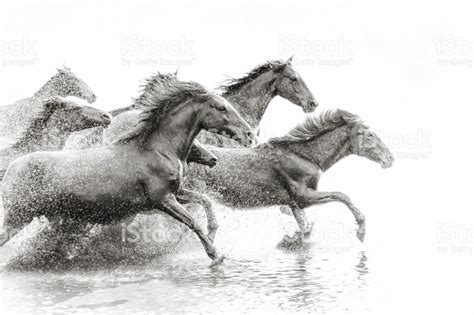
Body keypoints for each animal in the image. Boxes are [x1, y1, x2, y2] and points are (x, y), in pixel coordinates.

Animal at [0, 78, 256, 264]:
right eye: (222, 107)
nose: (250, 135)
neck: (159, 149)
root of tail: (11, 168)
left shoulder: (177, 193)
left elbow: (205, 201)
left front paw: (213, 233)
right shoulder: (163, 200)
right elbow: (192, 221)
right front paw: (215, 255)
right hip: (18, 216)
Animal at [185, 110, 392, 243]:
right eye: (370, 135)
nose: (390, 158)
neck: (304, 157)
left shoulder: (294, 204)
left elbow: (305, 228)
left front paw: (291, 240)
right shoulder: (302, 197)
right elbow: (341, 195)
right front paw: (361, 230)